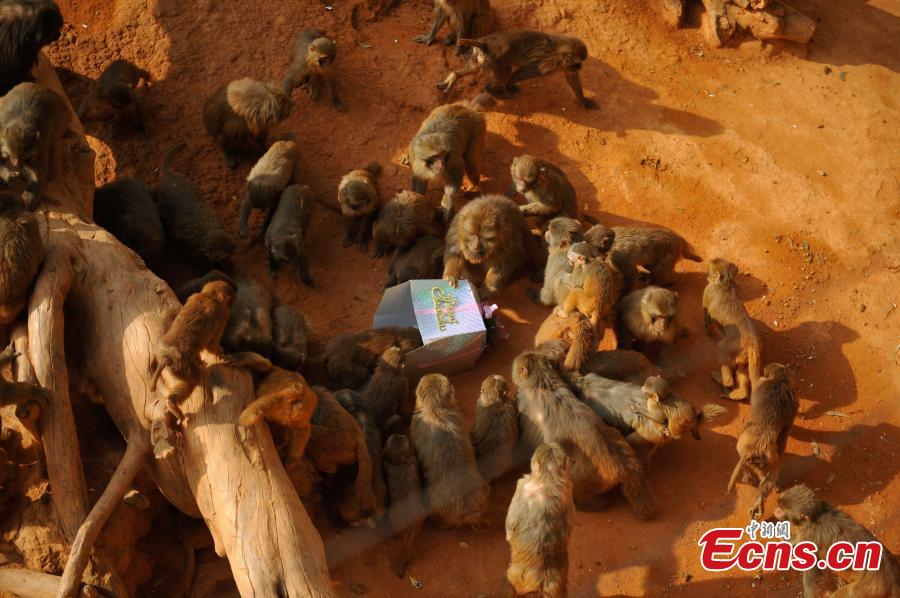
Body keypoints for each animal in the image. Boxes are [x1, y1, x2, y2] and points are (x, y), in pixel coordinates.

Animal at [149, 279, 236, 423]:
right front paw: (223, 355)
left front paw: (203, 361)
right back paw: (172, 405)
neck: (209, 296)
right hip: (181, 368)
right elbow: (211, 346)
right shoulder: (222, 315)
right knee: (194, 377)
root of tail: (167, 357)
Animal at [437, 30, 598, 110]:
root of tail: (484, 44)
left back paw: (453, 77)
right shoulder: (549, 64)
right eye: (578, 63)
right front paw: (508, 88)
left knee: (474, 67)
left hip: (481, 58)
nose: (581, 67)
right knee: (505, 71)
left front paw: (583, 101)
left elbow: (571, 77)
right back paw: (495, 90)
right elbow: (523, 72)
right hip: (491, 60)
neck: (560, 50)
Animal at [504, 442, 574, 598]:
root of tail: (542, 581)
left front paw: (509, 535)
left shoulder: (521, 485)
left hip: (516, 575)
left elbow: (510, 526)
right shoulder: (569, 491)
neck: (548, 480)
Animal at [703, 258, 762, 400]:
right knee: (741, 367)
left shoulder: (708, 291)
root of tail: (752, 343)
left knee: (721, 348)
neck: (726, 283)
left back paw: (725, 382)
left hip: (733, 345)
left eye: (708, 272)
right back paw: (740, 394)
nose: (706, 276)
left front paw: (707, 330)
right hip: (742, 353)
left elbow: (707, 317)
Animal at [727, 363, 798, 520]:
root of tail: (755, 449)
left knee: (767, 478)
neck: (778, 380)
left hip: (747, 447)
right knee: (771, 475)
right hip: (769, 457)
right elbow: (783, 438)